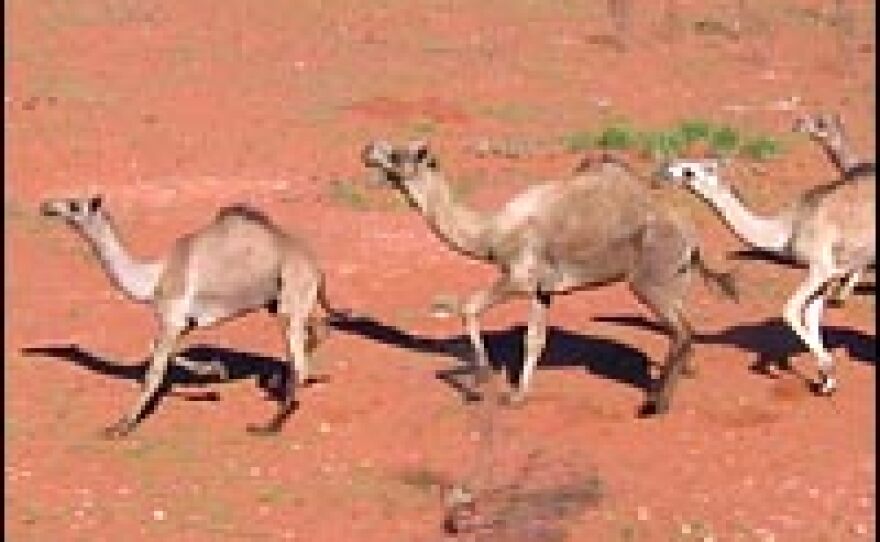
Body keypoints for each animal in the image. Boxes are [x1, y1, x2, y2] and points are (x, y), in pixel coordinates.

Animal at [41, 198, 344, 440]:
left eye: (74, 205)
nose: (47, 206)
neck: (152, 279)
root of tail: (317, 267)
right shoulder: (185, 322)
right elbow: (158, 350)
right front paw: (215, 370)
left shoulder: (171, 317)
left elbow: (153, 371)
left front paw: (120, 426)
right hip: (278, 301)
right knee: (317, 330)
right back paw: (275, 383)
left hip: (292, 288)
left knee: (300, 359)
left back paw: (268, 425)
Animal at [360, 141, 740, 416]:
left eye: (397, 155)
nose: (368, 149)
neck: (491, 234)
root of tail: (692, 238)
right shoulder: (544, 289)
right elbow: (534, 339)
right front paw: (518, 396)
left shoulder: (517, 277)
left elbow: (469, 308)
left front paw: (481, 381)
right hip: (678, 279)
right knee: (683, 331)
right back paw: (674, 387)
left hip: (649, 279)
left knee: (683, 332)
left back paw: (654, 404)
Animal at [660, 157, 872, 396]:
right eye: (680, 162)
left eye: (689, 172)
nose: (666, 170)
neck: (787, 229)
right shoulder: (829, 271)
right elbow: (812, 314)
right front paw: (827, 381)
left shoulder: (820, 267)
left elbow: (790, 310)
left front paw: (824, 369)